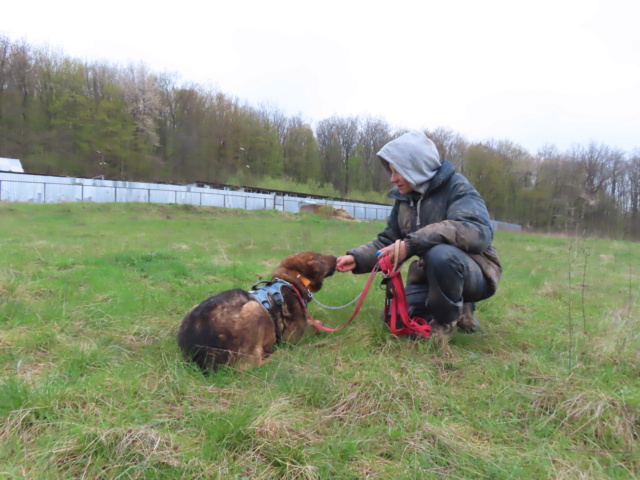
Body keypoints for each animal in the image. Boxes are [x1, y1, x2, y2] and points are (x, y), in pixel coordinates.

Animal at [175, 253, 336, 370]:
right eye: (321, 258)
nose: (336, 256)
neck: (290, 283)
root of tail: (196, 351)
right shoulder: (292, 337)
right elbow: (312, 327)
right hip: (255, 308)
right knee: (249, 365)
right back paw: (279, 354)